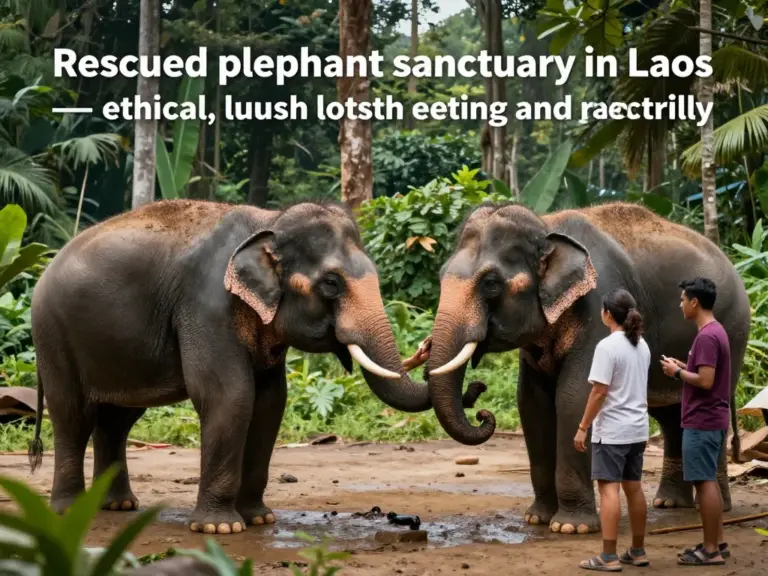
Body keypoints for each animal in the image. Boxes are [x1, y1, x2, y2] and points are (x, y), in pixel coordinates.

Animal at [28, 199, 485, 535]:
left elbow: (269, 402)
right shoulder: (205, 305)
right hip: (53, 334)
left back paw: (118, 505)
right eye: (331, 284)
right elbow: (230, 396)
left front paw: (260, 519)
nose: (477, 392)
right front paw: (221, 529)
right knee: (72, 415)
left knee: (116, 420)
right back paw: (69, 511)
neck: (269, 221)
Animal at [423, 201, 750, 535]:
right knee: (671, 415)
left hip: (732, 332)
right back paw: (669, 503)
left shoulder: (597, 306)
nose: (481, 406)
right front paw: (537, 518)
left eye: (490, 284)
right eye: (441, 276)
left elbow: (575, 397)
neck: (546, 227)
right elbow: (532, 403)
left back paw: (715, 507)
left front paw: (571, 527)